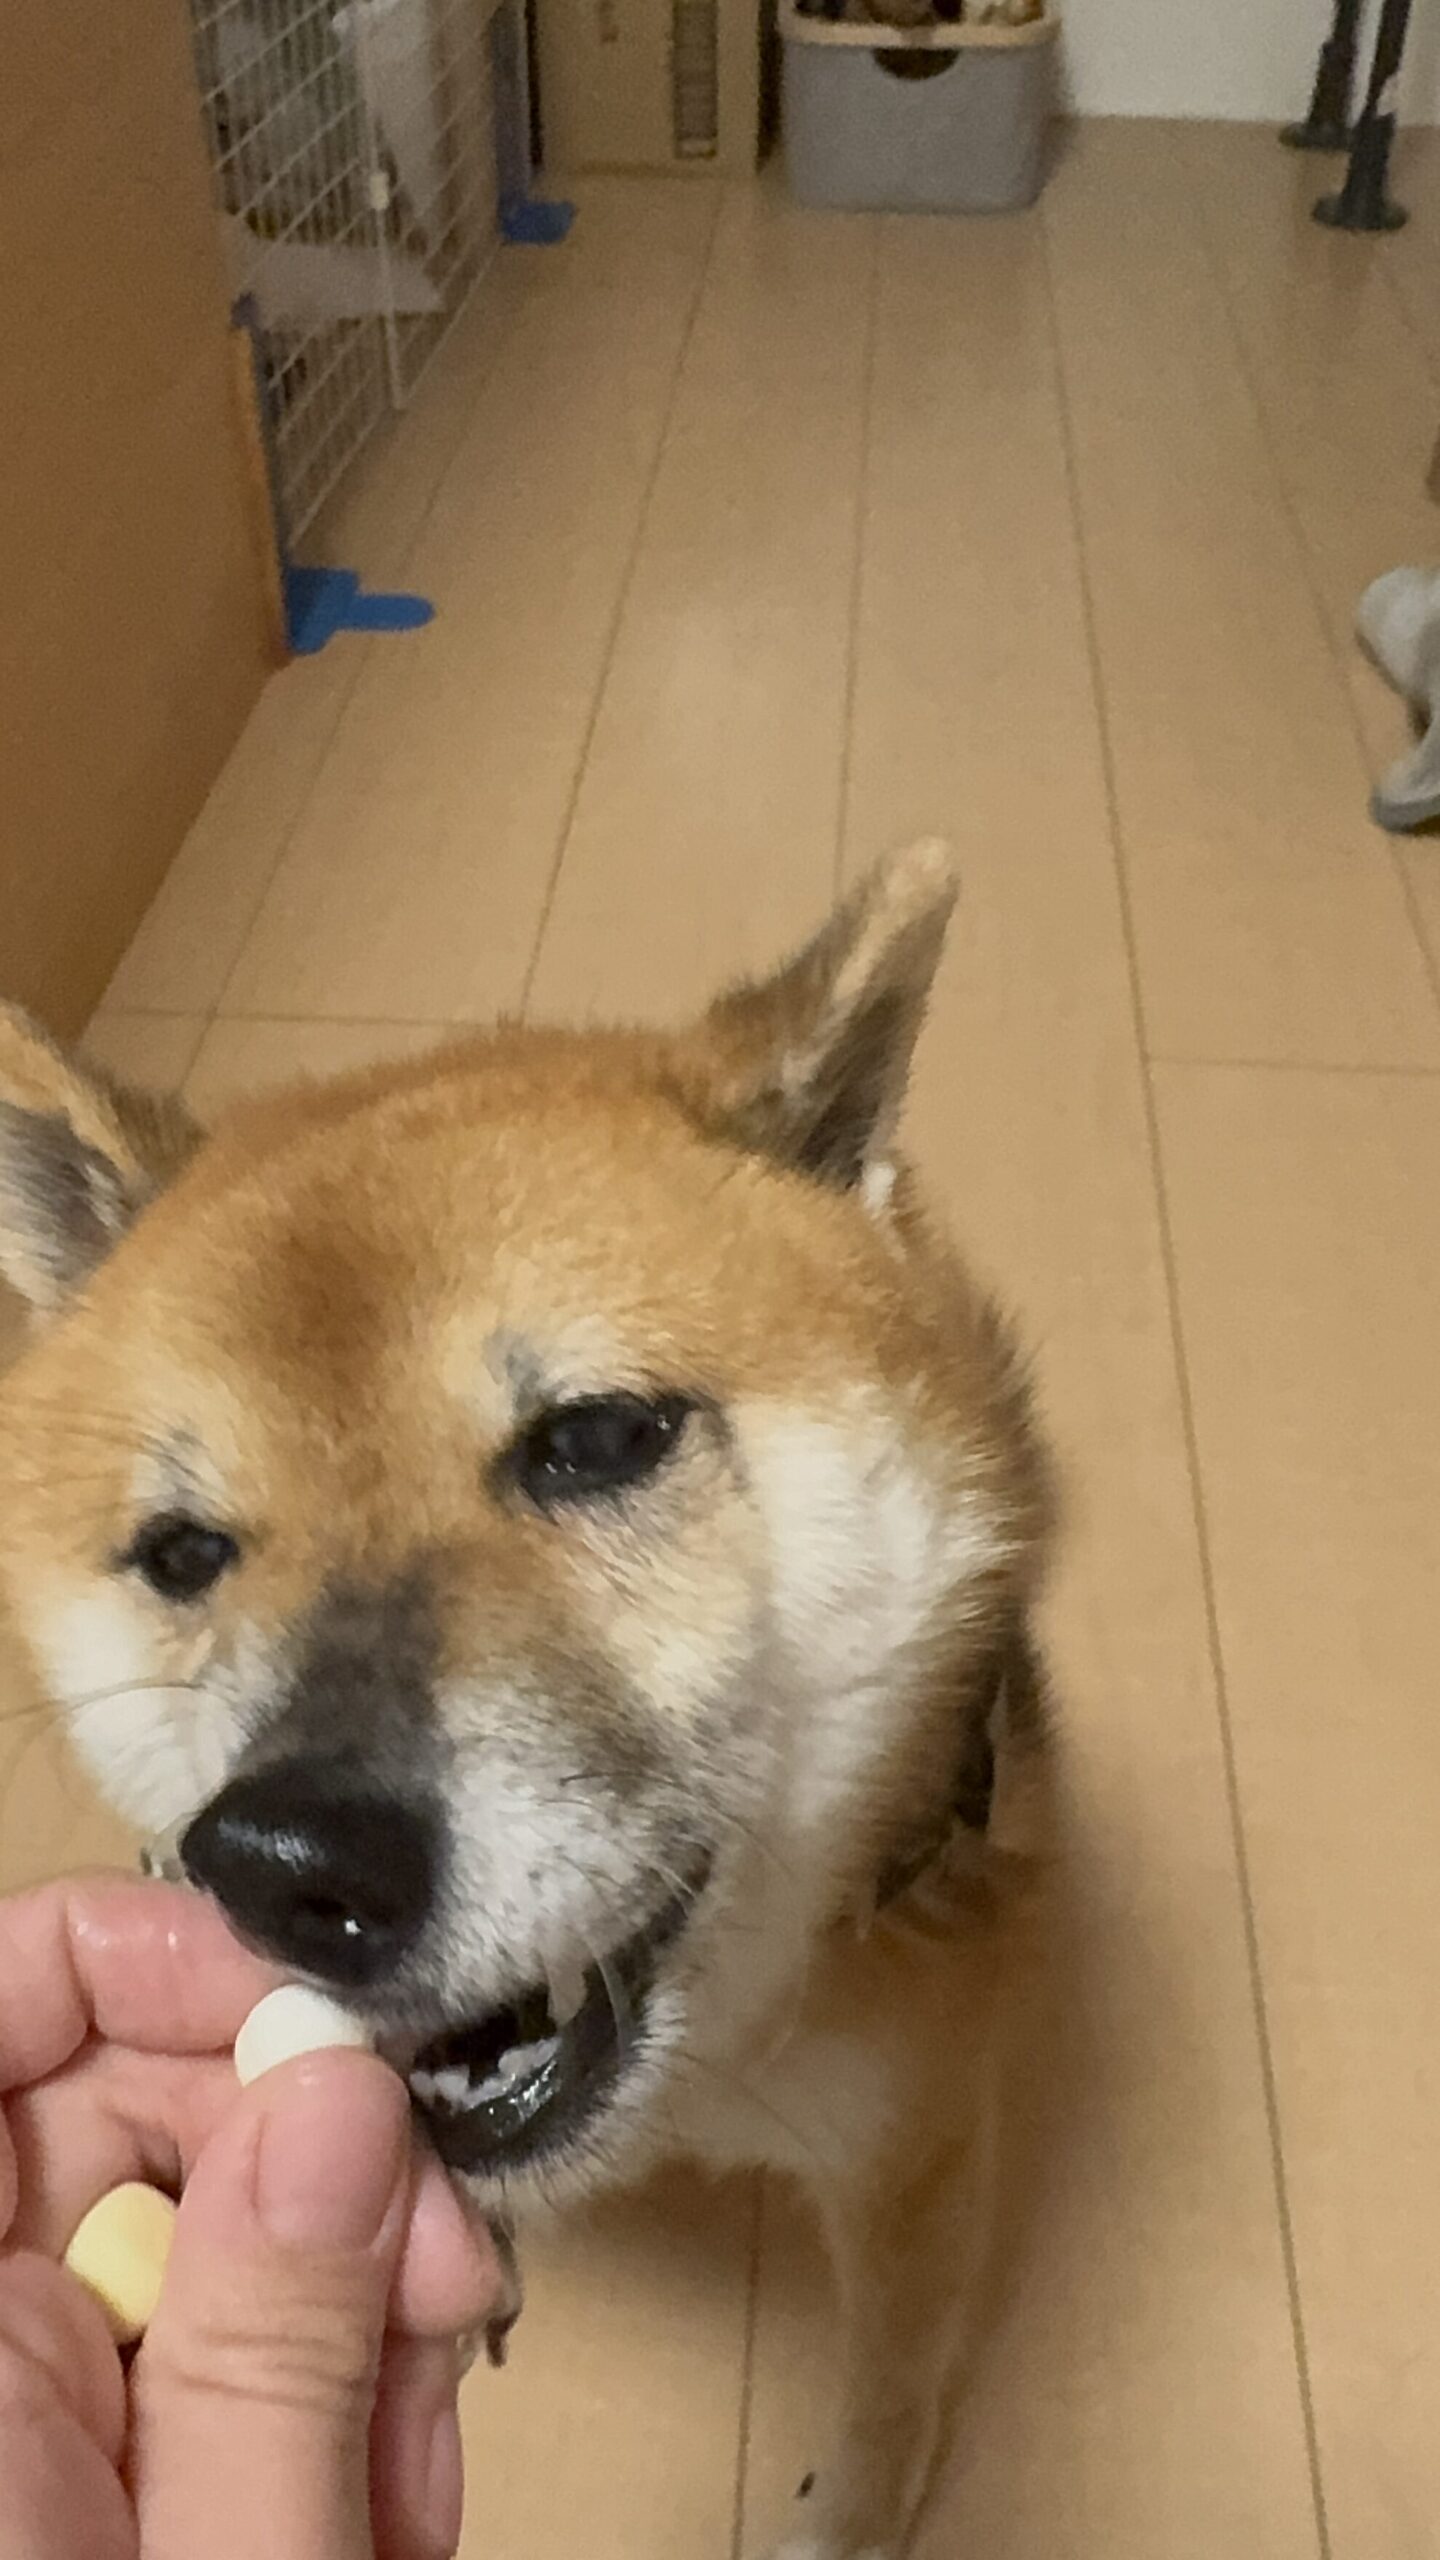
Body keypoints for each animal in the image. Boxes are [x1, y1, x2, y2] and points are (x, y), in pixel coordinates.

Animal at [0, 841, 1055, 2560]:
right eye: (183, 1553)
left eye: (598, 1439)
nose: (285, 1864)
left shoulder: (920, 2146)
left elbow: (892, 2397)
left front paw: (849, 2519)